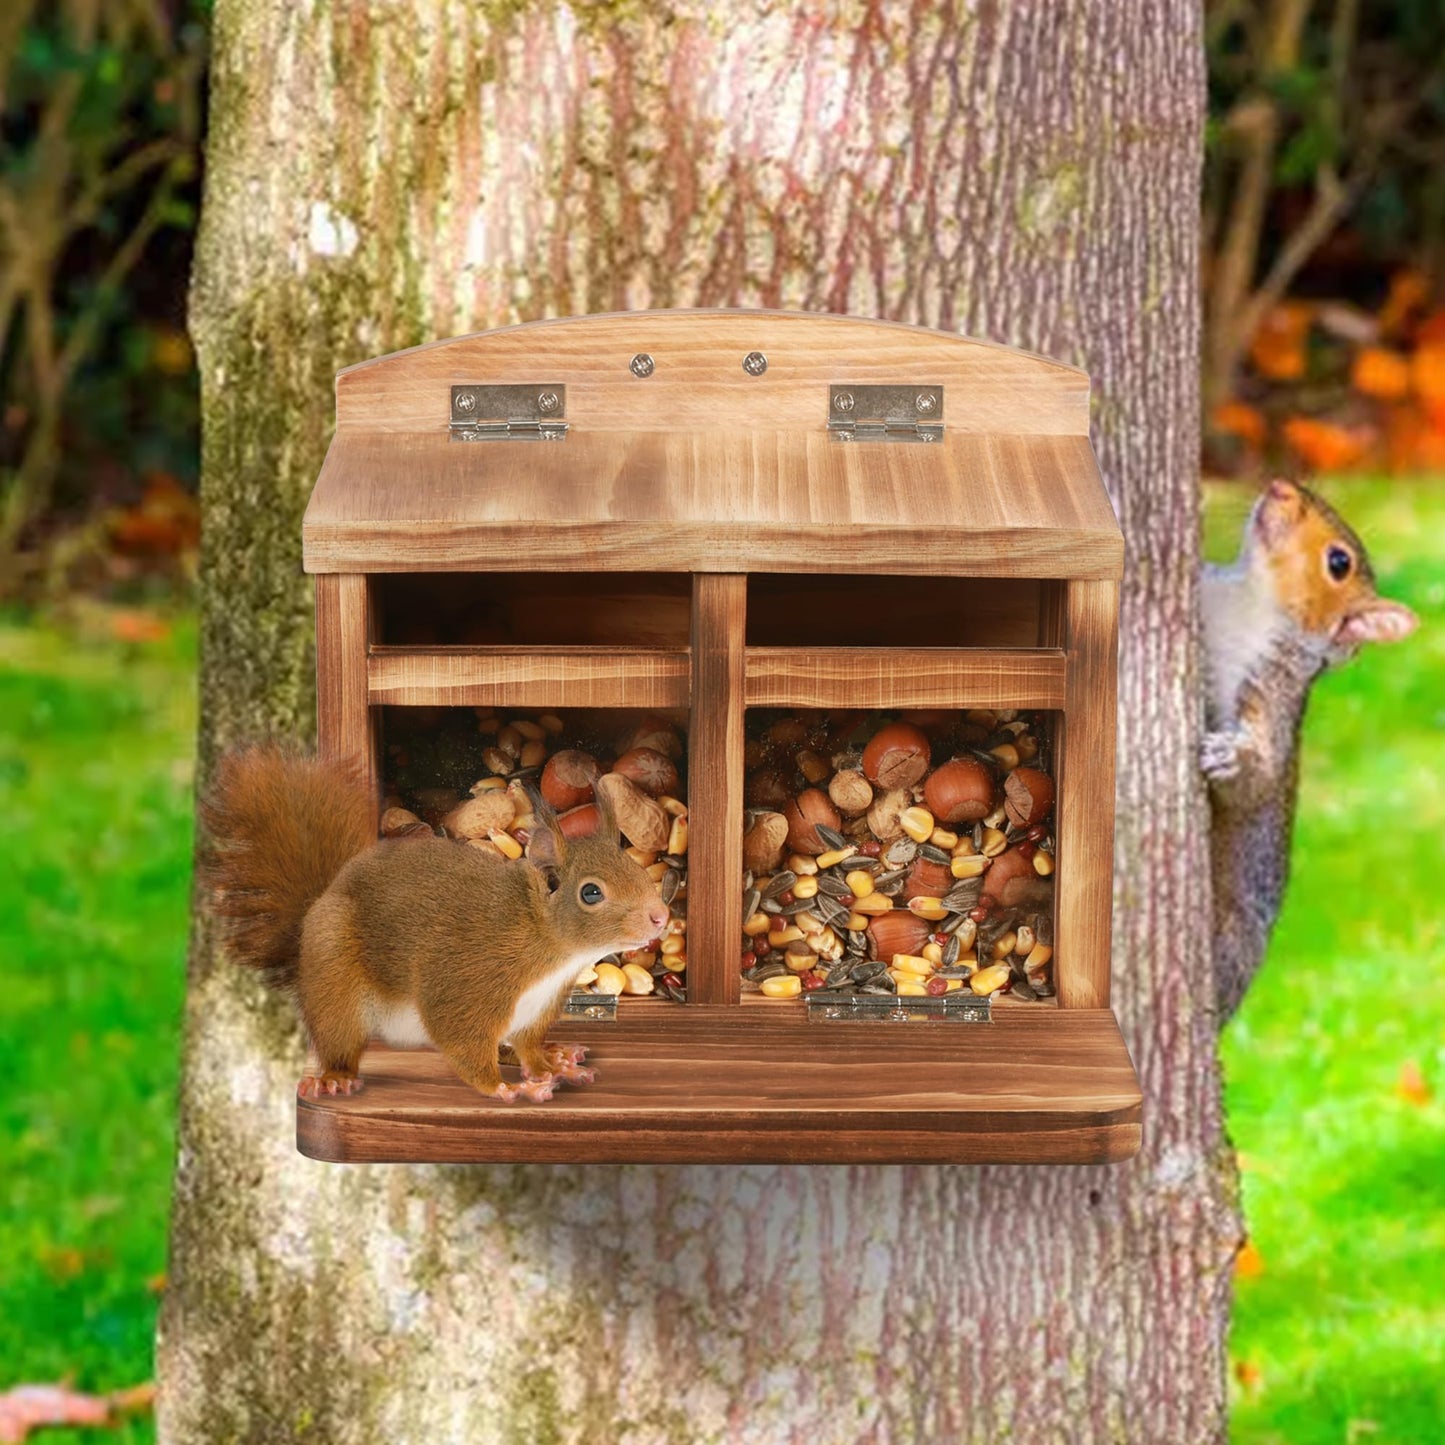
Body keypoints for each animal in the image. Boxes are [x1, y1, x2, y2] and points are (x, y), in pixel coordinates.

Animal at [199, 745, 670, 1102]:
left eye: (634, 865)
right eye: (591, 893)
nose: (661, 916)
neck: (546, 947)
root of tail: (319, 903)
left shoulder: (536, 1010)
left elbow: (528, 1047)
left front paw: (546, 1065)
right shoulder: (465, 985)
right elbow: (463, 1044)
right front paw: (504, 1089)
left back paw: (554, 1057)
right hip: (334, 982)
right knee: (338, 1037)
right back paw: (335, 1077)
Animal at [1200, 477, 1417, 1020]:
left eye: (1339, 563)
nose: (1280, 486)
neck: (1246, 598)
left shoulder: (1273, 694)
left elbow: (1260, 774)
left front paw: (1232, 760)